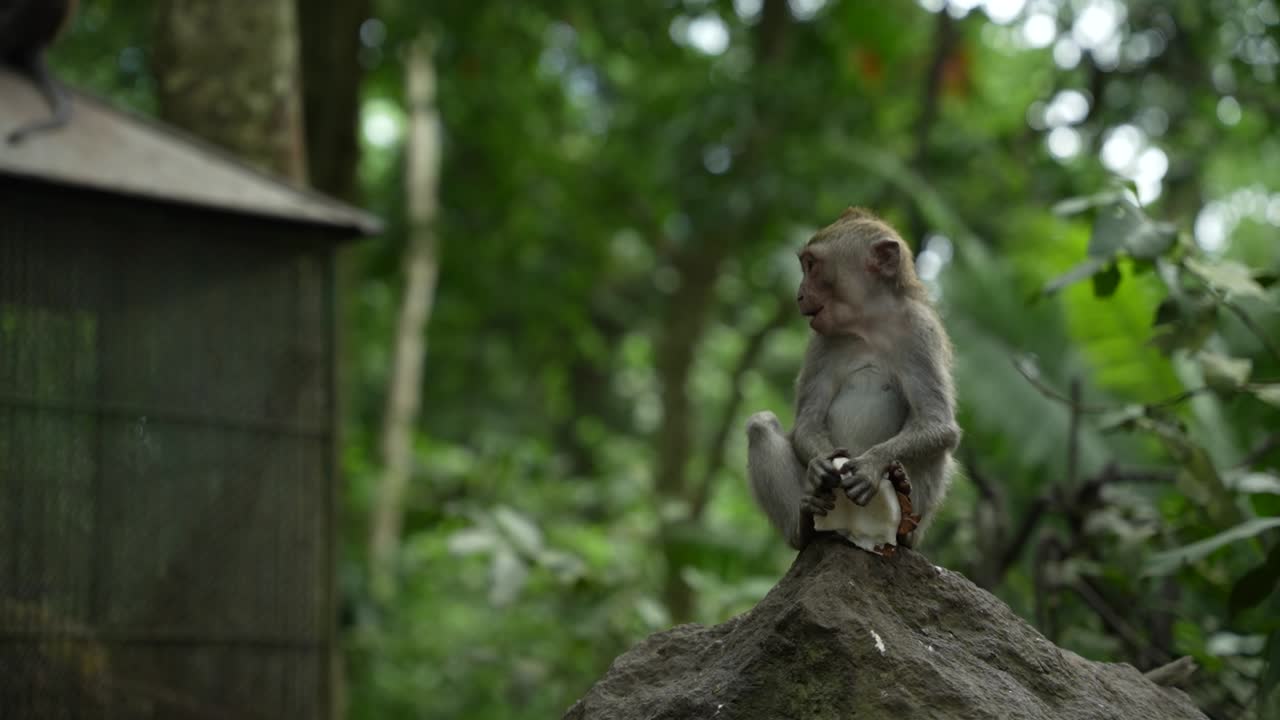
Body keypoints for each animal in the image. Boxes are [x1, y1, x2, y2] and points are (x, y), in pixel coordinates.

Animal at [746, 207, 960, 551]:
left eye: (812, 265)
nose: (799, 295)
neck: (867, 325)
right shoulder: (820, 343)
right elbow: (808, 422)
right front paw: (820, 465)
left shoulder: (920, 331)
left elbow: (937, 424)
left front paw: (873, 464)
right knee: (760, 425)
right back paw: (803, 526)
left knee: (936, 447)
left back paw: (904, 518)